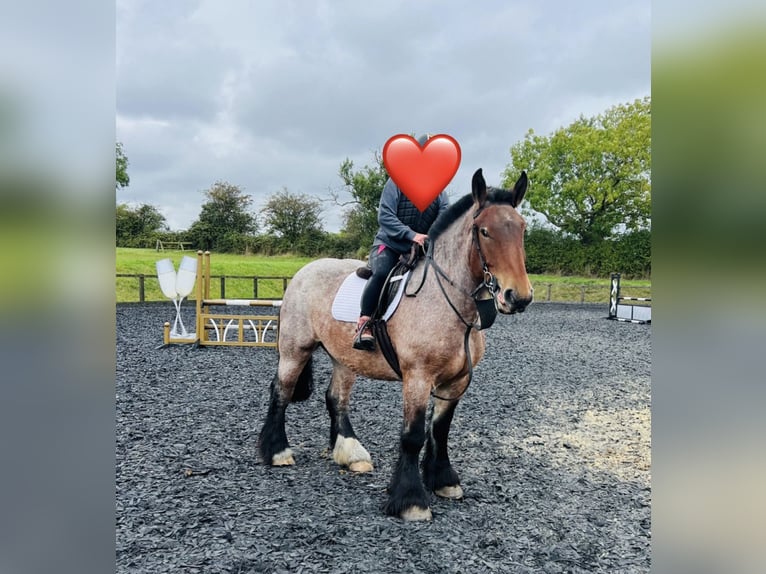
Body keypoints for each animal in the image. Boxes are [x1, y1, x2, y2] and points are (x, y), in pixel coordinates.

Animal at [260, 168, 536, 520]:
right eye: (484, 231)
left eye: (522, 228)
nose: (518, 297)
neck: (446, 301)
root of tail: (302, 273)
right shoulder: (417, 378)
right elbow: (413, 435)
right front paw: (411, 500)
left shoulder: (456, 381)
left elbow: (440, 429)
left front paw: (443, 481)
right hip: (295, 351)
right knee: (281, 393)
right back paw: (278, 452)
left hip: (344, 358)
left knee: (336, 398)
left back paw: (351, 454)